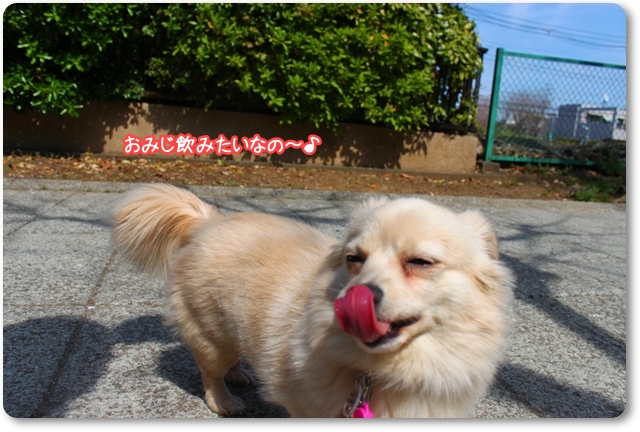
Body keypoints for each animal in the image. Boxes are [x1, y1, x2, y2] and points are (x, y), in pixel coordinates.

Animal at [112, 184, 513, 418]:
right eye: (354, 259)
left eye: (420, 262)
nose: (354, 297)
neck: (386, 371)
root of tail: (209, 222)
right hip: (211, 335)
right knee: (210, 371)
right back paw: (225, 401)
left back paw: (240, 373)